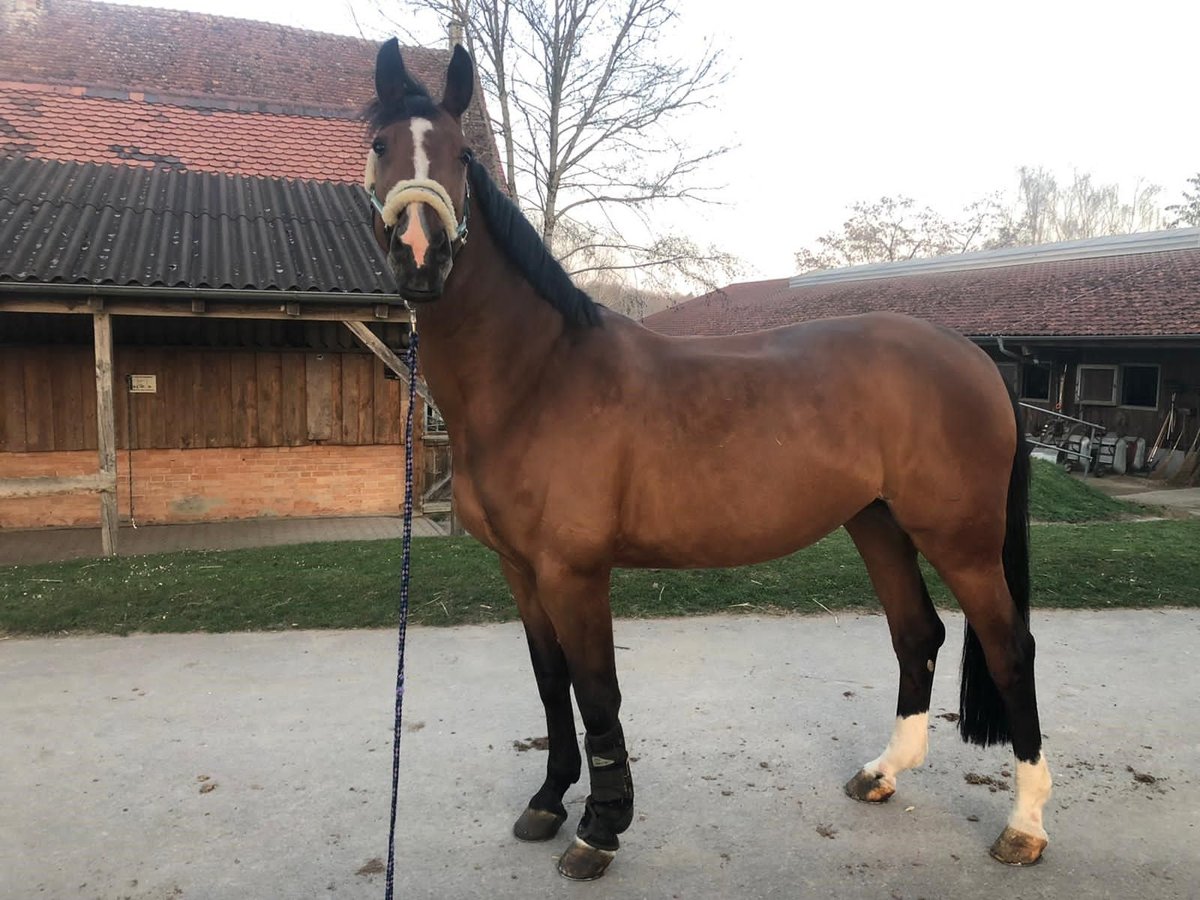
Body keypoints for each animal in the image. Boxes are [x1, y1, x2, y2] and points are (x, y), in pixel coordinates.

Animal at [362, 40, 1051, 883]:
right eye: (380, 145)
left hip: (961, 540)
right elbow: (552, 686)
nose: (419, 256)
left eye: (461, 156)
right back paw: (883, 773)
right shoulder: (521, 571)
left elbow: (597, 694)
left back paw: (1024, 825)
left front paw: (599, 831)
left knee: (1009, 648)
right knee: (917, 634)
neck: (538, 377)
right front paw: (549, 802)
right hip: (878, 523)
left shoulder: (574, 572)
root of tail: (973, 355)